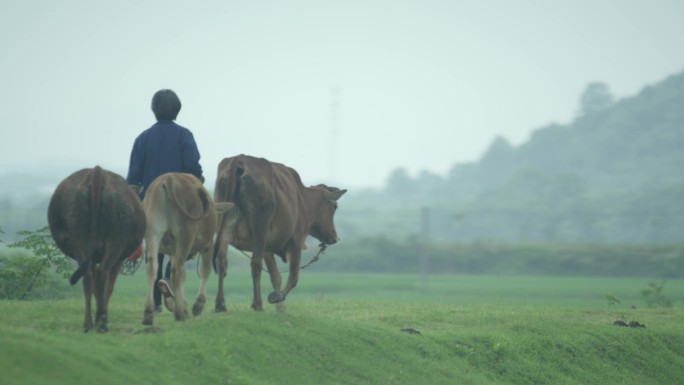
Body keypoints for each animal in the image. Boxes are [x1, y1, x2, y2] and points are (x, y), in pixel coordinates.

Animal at [47, 166, 146, 332]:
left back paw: (88, 323)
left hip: (80, 241)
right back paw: (101, 321)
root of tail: (97, 173)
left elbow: (93, 285)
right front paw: (103, 315)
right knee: (101, 274)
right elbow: (109, 287)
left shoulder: (92, 257)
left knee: (87, 277)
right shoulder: (118, 260)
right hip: (116, 242)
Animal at [141, 172, 232, 324]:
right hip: (185, 235)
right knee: (176, 270)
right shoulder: (207, 245)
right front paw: (197, 304)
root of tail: (168, 178)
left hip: (152, 234)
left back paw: (148, 312)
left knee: (153, 268)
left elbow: (183, 276)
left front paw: (184, 305)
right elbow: (204, 270)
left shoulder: (173, 250)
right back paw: (179, 314)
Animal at [212, 154, 344, 310]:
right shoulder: (296, 241)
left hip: (224, 218)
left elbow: (276, 276)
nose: (334, 237)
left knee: (221, 260)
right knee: (255, 263)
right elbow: (293, 277)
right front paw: (278, 297)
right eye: (335, 207)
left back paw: (220, 304)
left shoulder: (268, 248)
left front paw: (281, 308)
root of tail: (239, 159)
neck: (303, 199)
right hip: (260, 225)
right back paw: (257, 304)